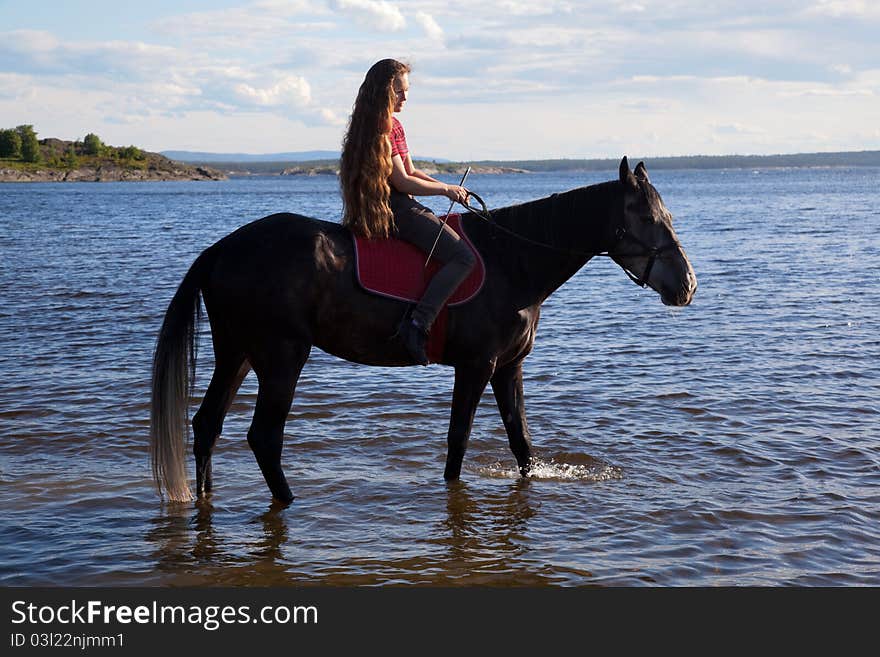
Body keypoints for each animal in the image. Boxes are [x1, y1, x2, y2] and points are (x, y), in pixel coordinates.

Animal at [155, 158, 696, 502]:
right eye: (646, 217)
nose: (687, 285)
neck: (512, 261)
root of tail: (224, 248)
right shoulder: (476, 366)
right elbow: (458, 441)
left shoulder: (509, 368)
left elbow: (521, 443)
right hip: (282, 356)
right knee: (263, 437)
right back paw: (288, 503)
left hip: (238, 352)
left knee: (207, 425)